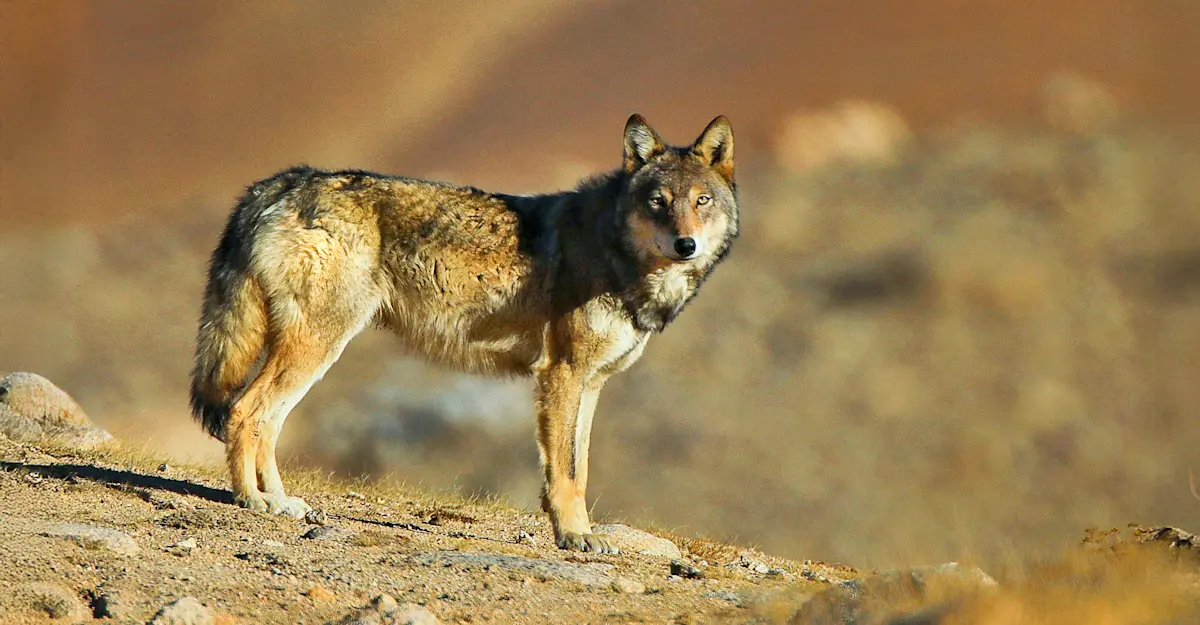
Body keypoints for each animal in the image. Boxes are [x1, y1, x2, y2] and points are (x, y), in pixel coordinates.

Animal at [190, 114, 738, 552]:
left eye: (702, 201)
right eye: (658, 202)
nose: (686, 245)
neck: (614, 252)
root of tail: (280, 182)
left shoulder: (592, 383)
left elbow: (579, 469)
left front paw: (578, 531)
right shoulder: (561, 374)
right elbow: (564, 472)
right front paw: (573, 536)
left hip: (311, 352)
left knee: (268, 420)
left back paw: (279, 499)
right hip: (317, 347)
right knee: (245, 411)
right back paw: (252, 500)